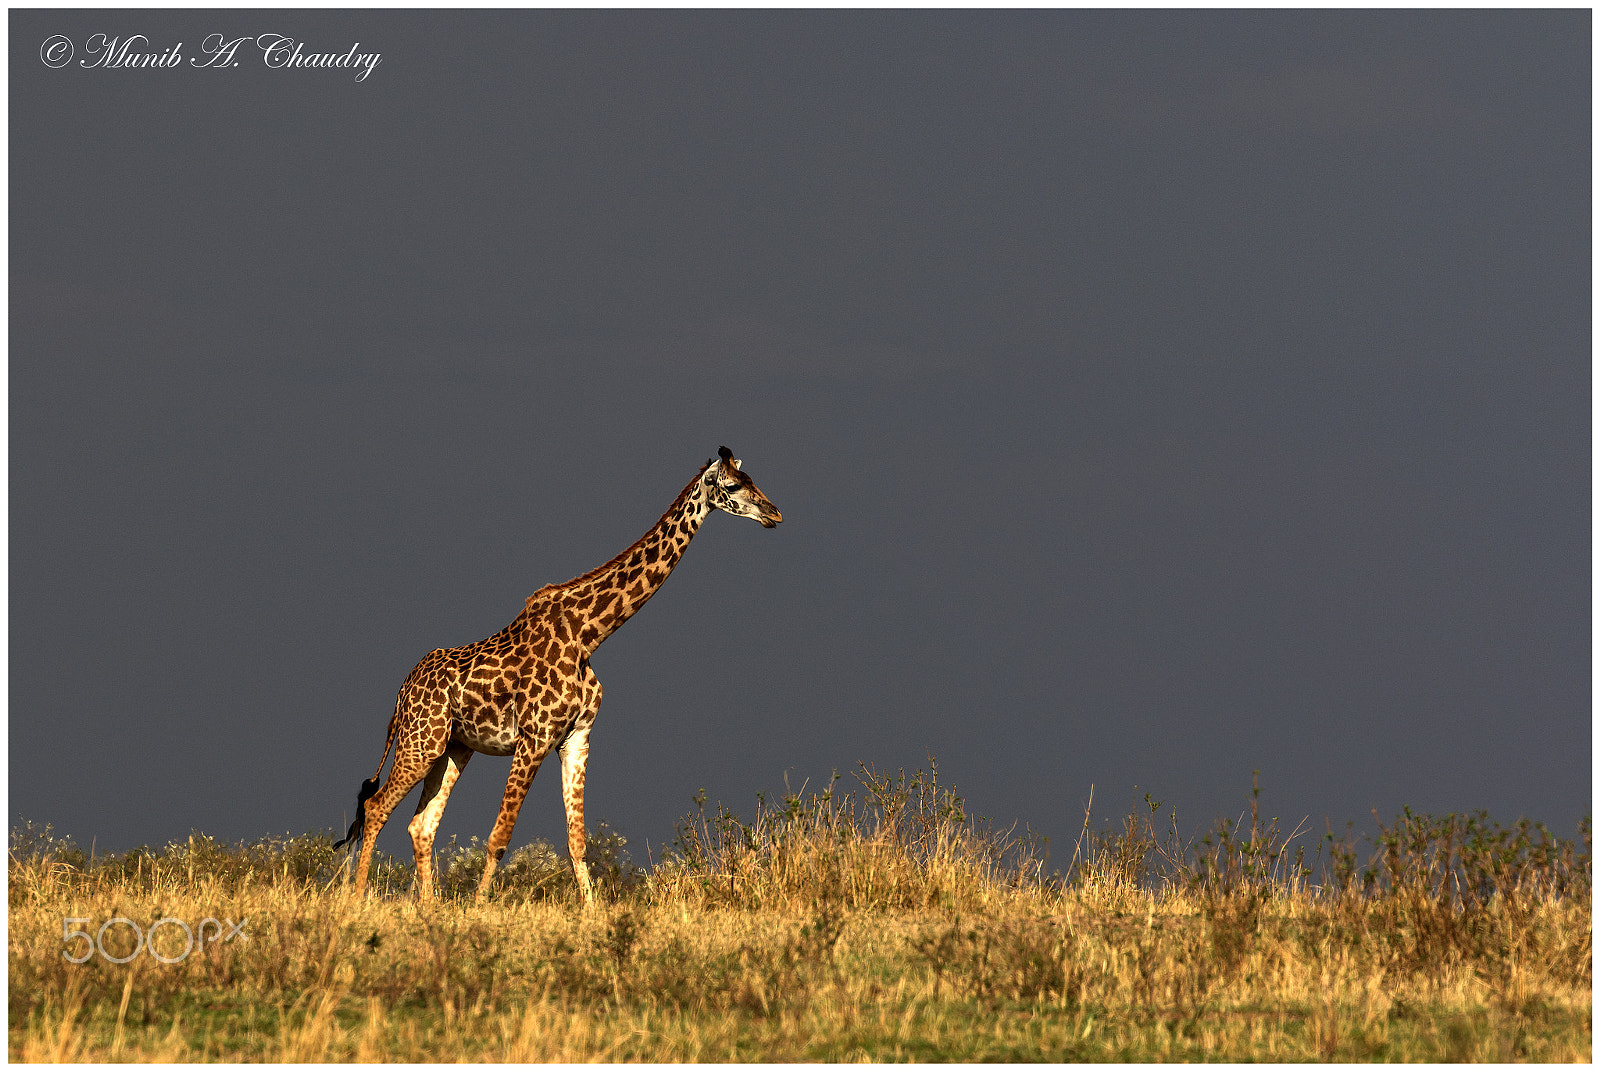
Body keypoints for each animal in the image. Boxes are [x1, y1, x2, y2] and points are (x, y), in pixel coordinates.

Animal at [334, 448, 784, 908]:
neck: (589, 634)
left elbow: (577, 841)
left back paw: (429, 906)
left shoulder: (576, 738)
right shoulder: (534, 737)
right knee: (376, 807)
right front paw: (478, 908)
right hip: (420, 740)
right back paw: (355, 898)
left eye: (753, 479)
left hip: (453, 748)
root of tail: (402, 691)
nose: (774, 514)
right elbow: (499, 837)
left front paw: (592, 913)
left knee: (421, 825)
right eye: (732, 485)